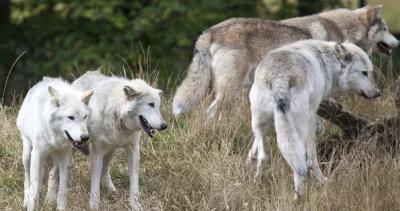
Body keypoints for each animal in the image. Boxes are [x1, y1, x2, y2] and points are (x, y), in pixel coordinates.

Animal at [16, 77, 93, 211]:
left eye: (85, 116)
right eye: (70, 117)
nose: (85, 137)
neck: (55, 137)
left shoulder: (65, 156)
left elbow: (62, 189)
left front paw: (60, 206)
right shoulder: (37, 154)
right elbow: (34, 187)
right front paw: (31, 205)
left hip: (56, 158)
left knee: (52, 175)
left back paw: (49, 199)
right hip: (27, 155)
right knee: (27, 178)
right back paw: (26, 200)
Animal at [72, 70, 167, 209]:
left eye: (158, 106)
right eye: (151, 105)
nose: (164, 126)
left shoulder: (133, 149)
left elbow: (134, 179)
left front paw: (135, 205)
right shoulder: (97, 152)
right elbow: (94, 182)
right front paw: (94, 206)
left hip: (111, 151)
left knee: (105, 170)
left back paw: (111, 190)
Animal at [173, 4, 398, 118]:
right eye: (385, 29)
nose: (398, 42)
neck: (345, 31)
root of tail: (210, 31)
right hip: (230, 90)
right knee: (211, 112)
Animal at [248, 40, 380, 199]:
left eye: (370, 72)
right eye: (364, 73)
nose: (378, 93)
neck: (325, 62)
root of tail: (280, 78)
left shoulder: (269, 123)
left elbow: (255, 147)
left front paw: (249, 159)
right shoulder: (312, 114)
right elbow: (313, 155)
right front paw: (322, 181)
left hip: (258, 122)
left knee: (263, 156)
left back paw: (256, 183)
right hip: (300, 128)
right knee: (302, 164)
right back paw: (299, 196)